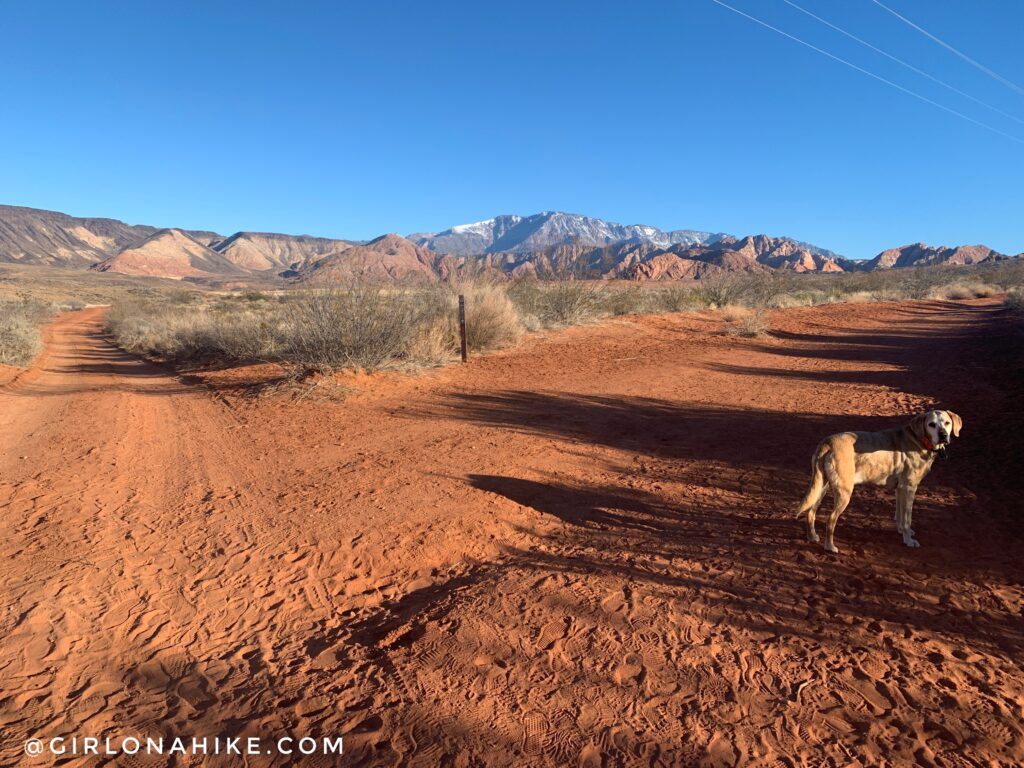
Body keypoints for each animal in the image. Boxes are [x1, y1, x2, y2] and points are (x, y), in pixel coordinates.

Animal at [798, 411, 958, 557]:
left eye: (947, 423)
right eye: (931, 424)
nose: (943, 435)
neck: (918, 439)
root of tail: (827, 442)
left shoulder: (900, 489)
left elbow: (900, 514)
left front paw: (901, 531)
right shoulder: (909, 488)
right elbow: (907, 518)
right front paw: (908, 540)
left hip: (822, 486)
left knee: (810, 512)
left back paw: (812, 536)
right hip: (844, 492)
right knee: (830, 519)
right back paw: (830, 547)